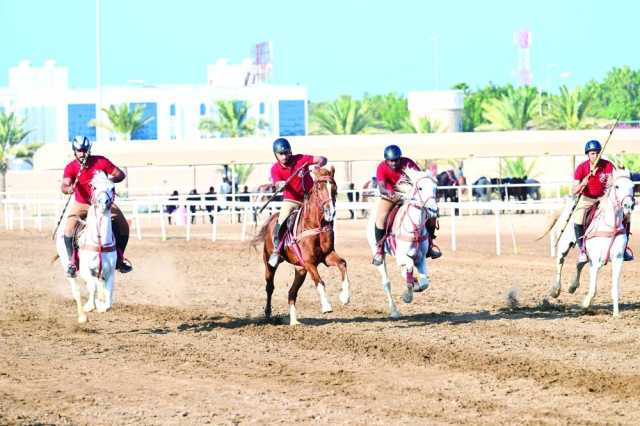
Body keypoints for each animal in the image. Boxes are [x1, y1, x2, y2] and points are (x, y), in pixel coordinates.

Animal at [55, 171, 117, 322]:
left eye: (112, 188)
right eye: (93, 187)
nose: (104, 202)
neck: (99, 242)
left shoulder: (110, 272)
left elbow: (108, 297)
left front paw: (101, 305)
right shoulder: (84, 270)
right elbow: (91, 286)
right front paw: (90, 306)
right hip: (67, 265)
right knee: (76, 290)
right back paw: (82, 316)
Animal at [251, 166, 352, 326]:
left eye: (334, 187)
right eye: (319, 187)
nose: (330, 211)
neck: (315, 224)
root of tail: (273, 218)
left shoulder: (327, 256)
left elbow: (342, 263)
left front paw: (345, 297)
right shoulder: (309, 262)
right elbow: (319, 281)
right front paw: (326, 306)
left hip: (300, 270)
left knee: (292, 293)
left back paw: (294, 322)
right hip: (269, 263)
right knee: (270, 287)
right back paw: (268, 313)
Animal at [364, 168, 440, 318]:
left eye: (435, 188)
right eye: (420, 188)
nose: (433, 210)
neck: (414, 228)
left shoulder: (421, 259)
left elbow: (424, 283)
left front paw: (415, 286)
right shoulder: (401, 257)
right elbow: (409, 268)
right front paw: (407, 295)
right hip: (379, 255)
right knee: (387, 282)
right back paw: (394, 311)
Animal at [544, 169, 636, 316]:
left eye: (633, 186)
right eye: (617, 186)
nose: (629, 205)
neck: (610, 226)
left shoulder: (617, 259)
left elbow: (615, 288)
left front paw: (616, 314)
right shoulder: (596, 260)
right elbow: (593, 288)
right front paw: (585, 304)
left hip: (585, 254)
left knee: (579, 263)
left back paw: (572, 286)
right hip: (564, 244)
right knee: (560, 261)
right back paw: (555, 290)